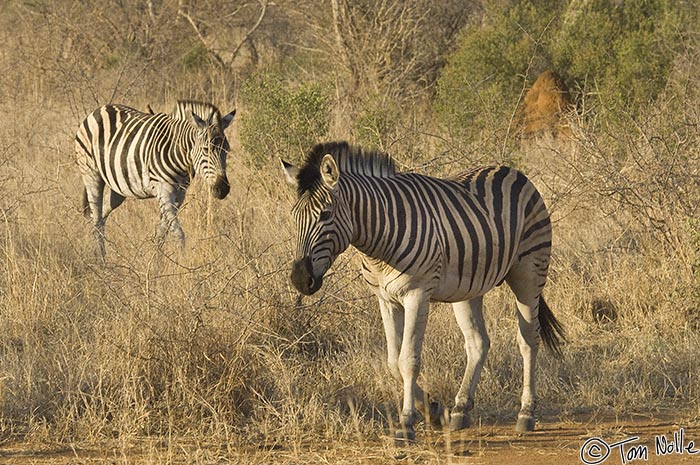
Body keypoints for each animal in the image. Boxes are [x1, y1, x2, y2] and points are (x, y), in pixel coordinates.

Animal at [75, 100, 237, 260]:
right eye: (206, 149)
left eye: (227, 150)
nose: (223, 189)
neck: (178, 154)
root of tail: (100, 109)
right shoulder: (163, 191)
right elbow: (178, 233)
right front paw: (182, 262)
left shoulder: (180, 194)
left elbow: (162, 233)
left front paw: (155, 262)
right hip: (91, 174)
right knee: (96, 219)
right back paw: (102, 260)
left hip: (119, 187)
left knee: (99, 216)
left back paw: (95, 252)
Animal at [282, 141, 568, 442]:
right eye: (293, 217)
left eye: (325, 215)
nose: (299, 279)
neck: (379, 242)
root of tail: (509, 170)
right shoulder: (385, 300)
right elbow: (393, 362)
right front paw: (433, 410)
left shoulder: (417, 295)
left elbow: (408, 359)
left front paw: (406, 422)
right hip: (468, 288)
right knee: (477, 342)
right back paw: (460, 409)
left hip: (529, 271)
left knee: (528, 339)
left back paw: (526, 413)